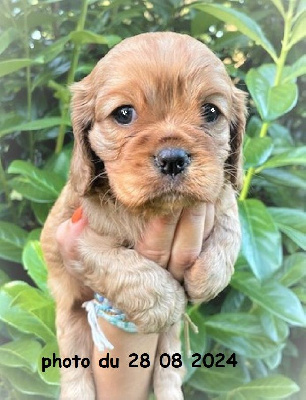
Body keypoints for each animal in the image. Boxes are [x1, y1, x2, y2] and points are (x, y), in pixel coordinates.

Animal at [41, 32, 246, 400]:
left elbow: (229, 223)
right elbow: (126, 268)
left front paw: (205, 277)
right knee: (75, 366)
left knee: (169, 370)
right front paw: (169, 302)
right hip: (70, 321)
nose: (173, 158)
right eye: (124, 113)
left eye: (210, 111)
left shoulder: (218, 195)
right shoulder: (72, 242)